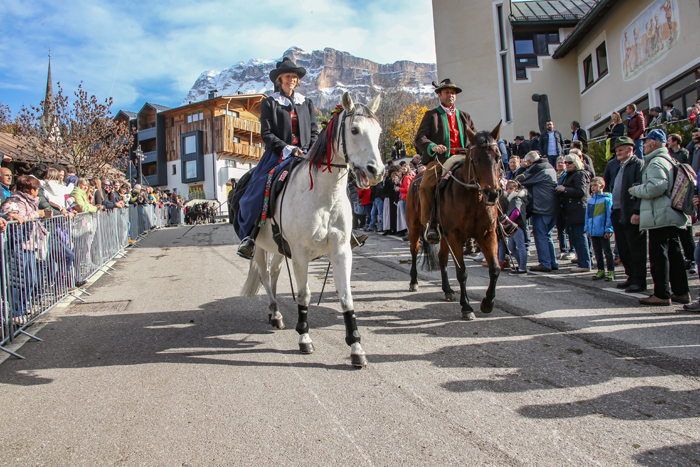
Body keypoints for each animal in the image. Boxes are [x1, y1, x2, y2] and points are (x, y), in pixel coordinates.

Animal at [241, 92, 382, 370]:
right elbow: (304, 294)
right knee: (264, 274)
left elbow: (346, 297)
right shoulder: (300, 253)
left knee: (274, 273)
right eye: (354, 130)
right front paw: (304, 337)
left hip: (278, 249)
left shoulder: (341, 251)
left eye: (379, 132)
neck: (323, 196)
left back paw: (275, 314)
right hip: (260, 247)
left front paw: (356, 347)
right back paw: (275, 311)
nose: (377, 172)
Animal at [404, 123, 504, 322]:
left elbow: (495, 269)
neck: (472, 197)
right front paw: (466, 306)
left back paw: (448, 290)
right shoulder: (456, 236)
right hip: (415, 228)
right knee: (414, 251)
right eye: (475, 159)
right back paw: (414, 282)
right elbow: (462, 272)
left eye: (498, 157)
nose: (492, 194)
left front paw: (487, 303)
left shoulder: (487, 234)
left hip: (443, 235)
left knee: (442, 258)